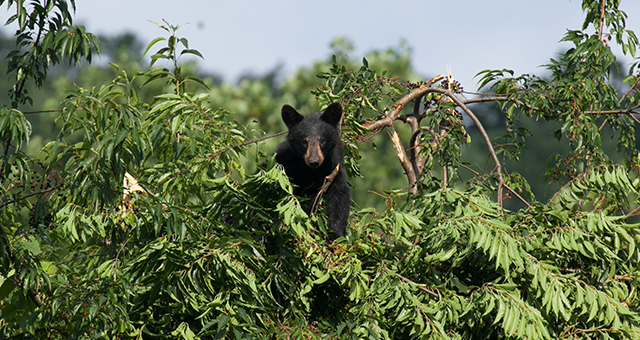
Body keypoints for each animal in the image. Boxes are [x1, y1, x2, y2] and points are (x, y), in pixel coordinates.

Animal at [274, 103, 350, 239]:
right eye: (304, 141)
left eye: (322, 140)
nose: (314, 161)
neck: (311, 170)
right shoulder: (285, 160)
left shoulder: (334, 166)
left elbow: (339, 194)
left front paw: (335, 234)